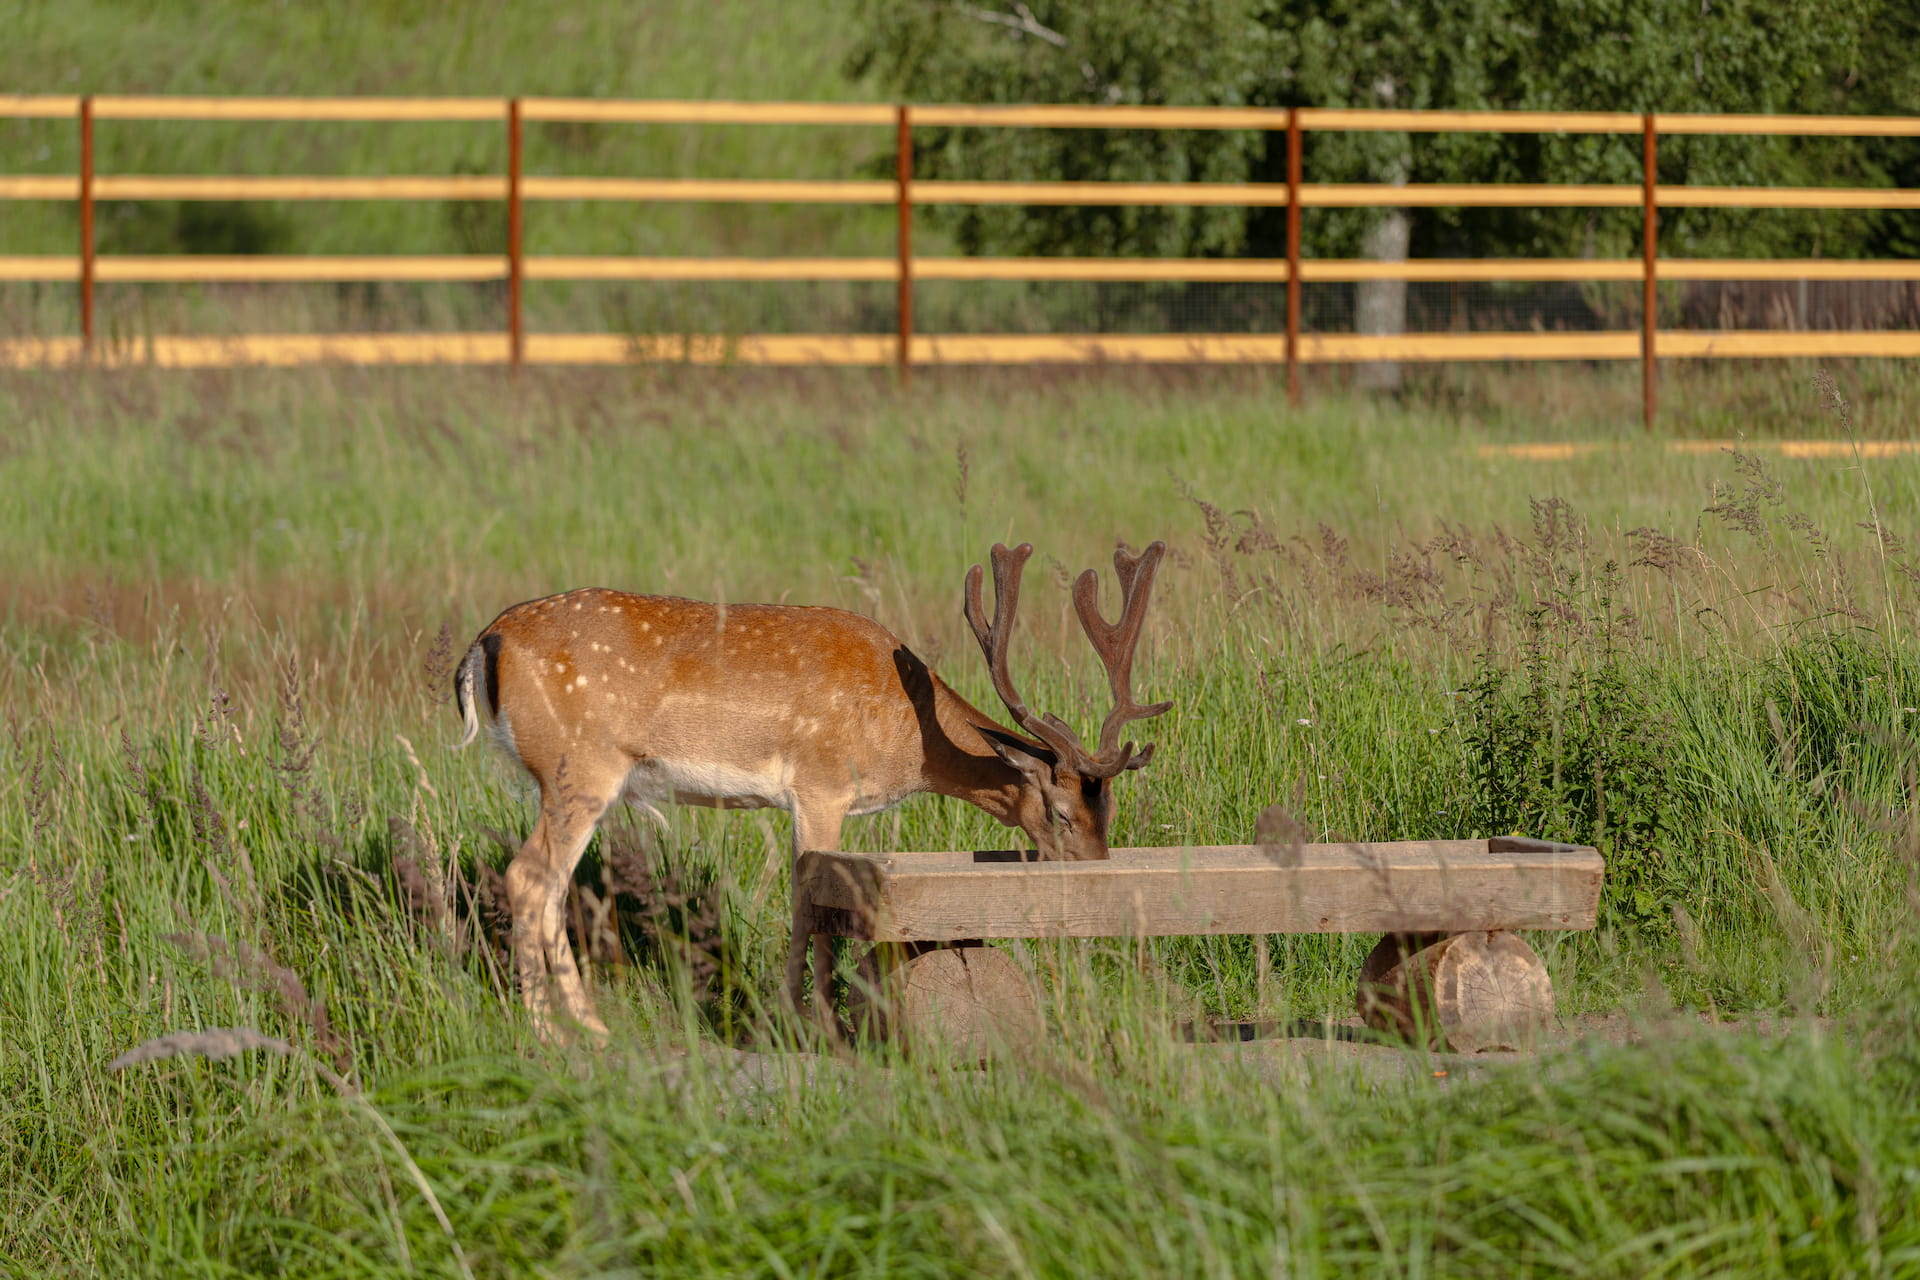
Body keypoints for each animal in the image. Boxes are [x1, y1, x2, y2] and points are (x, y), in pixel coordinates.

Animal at [453, 541, 1167, 1043]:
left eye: (1108, 811)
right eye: (1062, 812)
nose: (1100, 876)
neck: (909, 729)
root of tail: (483, 641)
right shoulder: (820, 785)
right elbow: (810, 904)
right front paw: (808, 1023)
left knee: (552, 886)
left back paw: (580, 1024)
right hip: (580, 767)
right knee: (528, 877)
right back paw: (563, 1034)